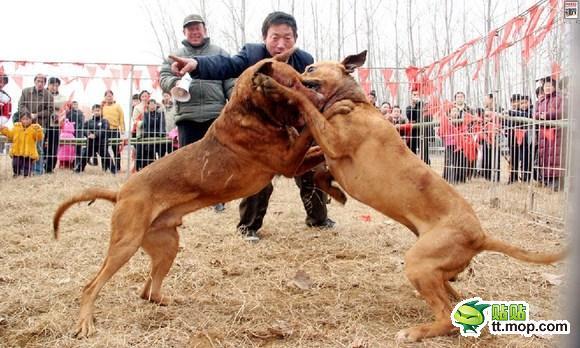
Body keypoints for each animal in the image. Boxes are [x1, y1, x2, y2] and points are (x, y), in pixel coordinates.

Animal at [53, 54, 326, 338]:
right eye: (290, 84)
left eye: (301, 79)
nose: (320, 98)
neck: (252, 112)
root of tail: (120, 192)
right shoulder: (289, 162)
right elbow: (312, 130)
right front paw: (317, 113)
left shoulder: (297, 159)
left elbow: (318, 148)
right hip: (125, 245)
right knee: (91, 286)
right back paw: (85, 321)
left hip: (168, 244)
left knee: (147, 291)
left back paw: (166, 300)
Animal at [254, 50, 568, 342]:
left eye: (310, 68)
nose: (287, 68)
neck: (356, 103)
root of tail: (480, 236)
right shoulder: (329, 152)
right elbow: (319, 171)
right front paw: (335, 194)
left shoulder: (333, 140)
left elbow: (306, 104)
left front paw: (277, 86)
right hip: (433, 268)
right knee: (452, 295)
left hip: (418, 262)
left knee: (447, 315)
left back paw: (416, 332)